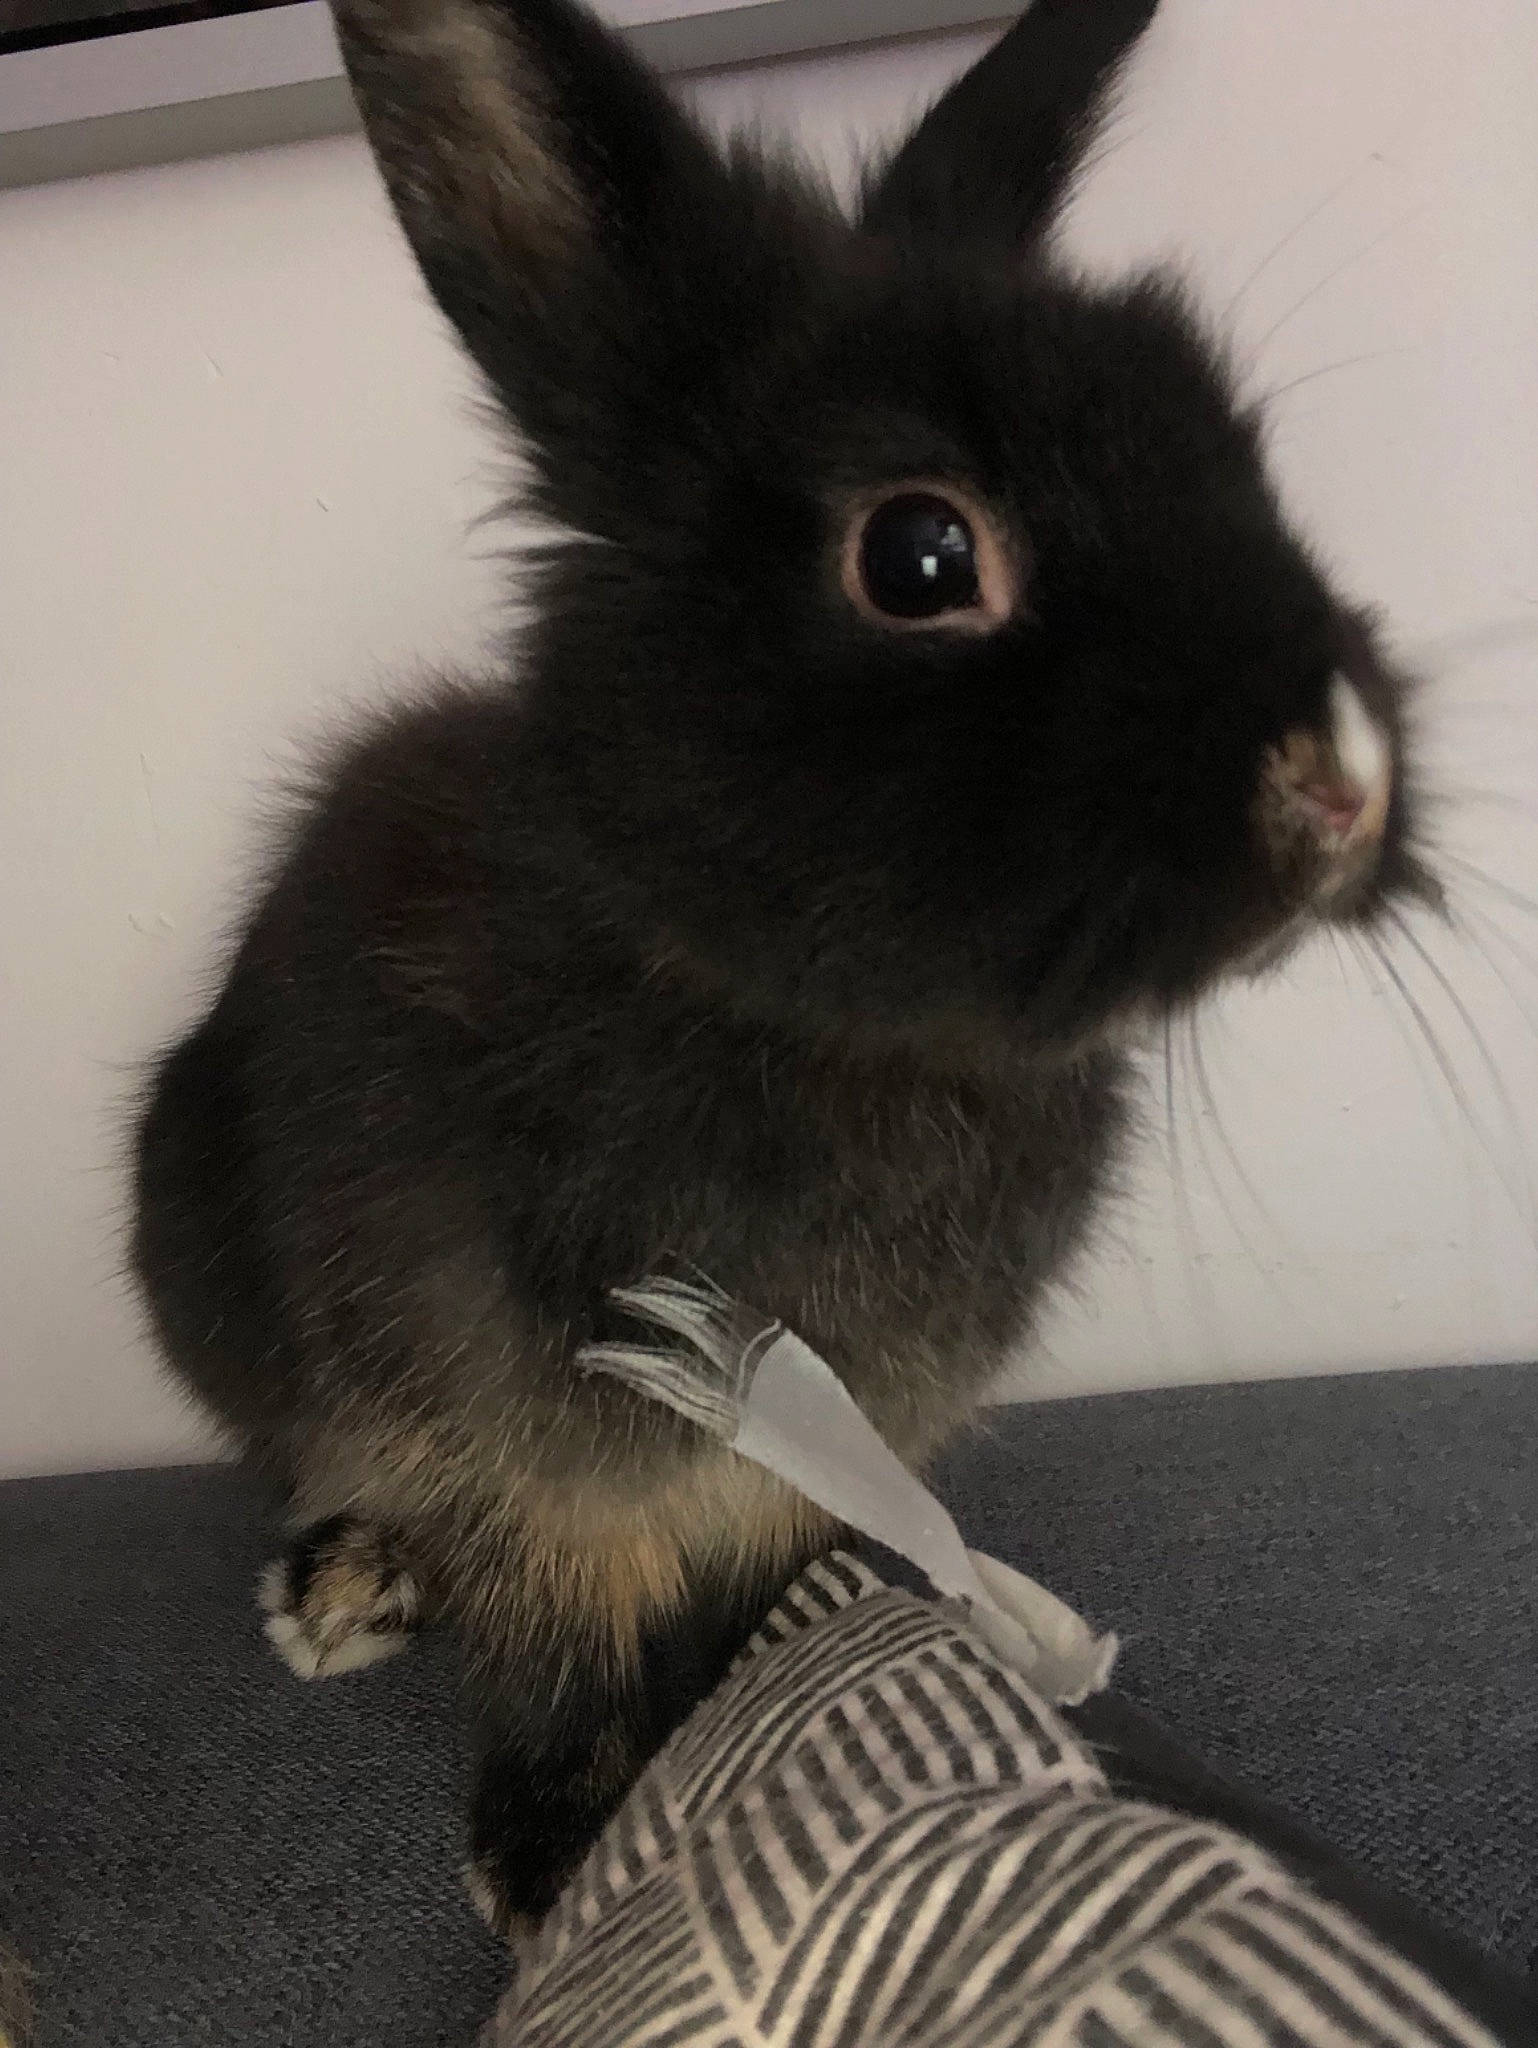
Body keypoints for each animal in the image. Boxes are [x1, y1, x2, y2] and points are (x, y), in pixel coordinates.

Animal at [129, 0, 1430, 1927]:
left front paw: (741, 1713)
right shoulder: (522, 1422)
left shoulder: (823, 1438)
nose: (1339, 785)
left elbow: (752, 1585)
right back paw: (344, 1585)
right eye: (919, 551)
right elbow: (551, 1616)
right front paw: (548, 1852)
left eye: (1231, 448)